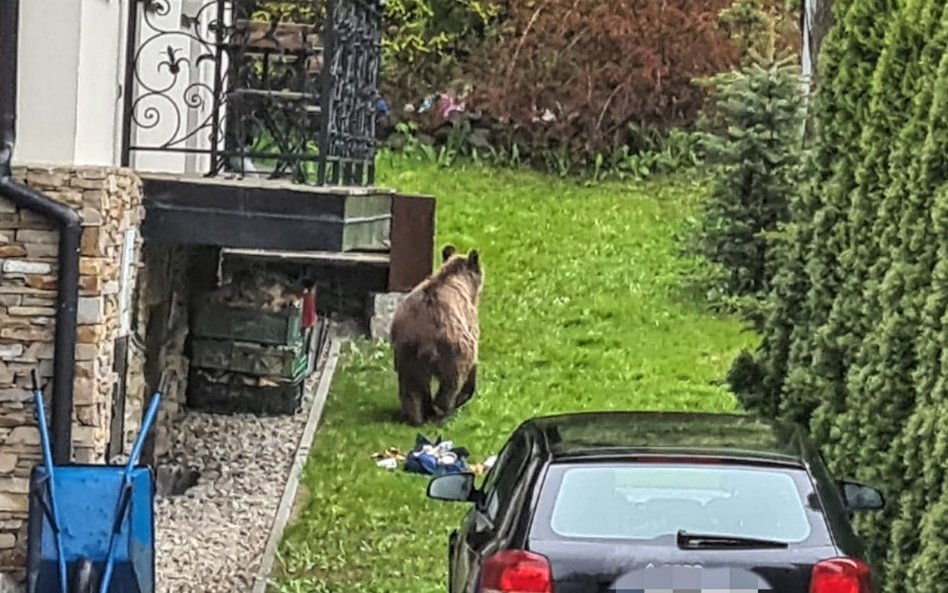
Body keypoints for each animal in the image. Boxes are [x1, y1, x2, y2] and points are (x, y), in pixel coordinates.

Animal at [388, 243, 486, 424]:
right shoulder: (469, 324)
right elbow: (472, 361)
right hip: (451, 349)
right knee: (451, 382)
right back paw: (445, 409)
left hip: (407, 352)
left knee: (412, 387)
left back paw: (418, 415)